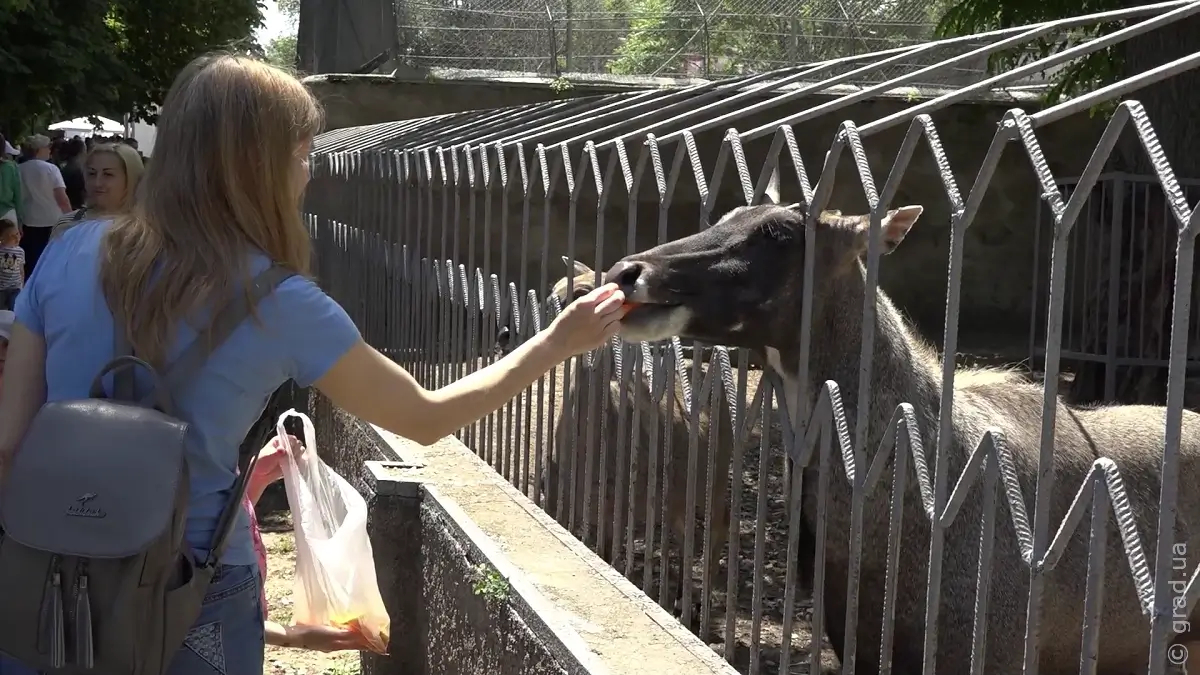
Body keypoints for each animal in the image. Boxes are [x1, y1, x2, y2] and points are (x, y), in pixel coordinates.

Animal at [496, 258, 739, 614]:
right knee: (687, 534)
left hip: (714, 480)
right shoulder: (554, 496)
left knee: (717, 528)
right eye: (553, 287)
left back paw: (695, 603)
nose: (506, 333)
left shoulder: (617, 507)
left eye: (580, 292)